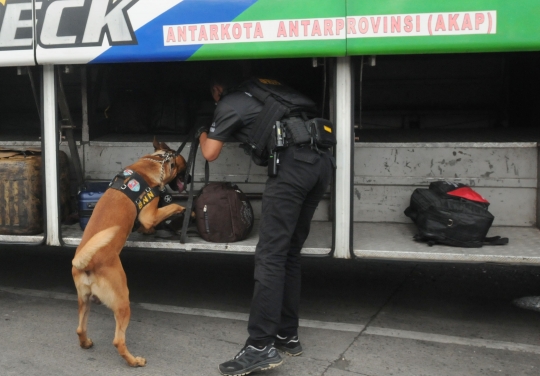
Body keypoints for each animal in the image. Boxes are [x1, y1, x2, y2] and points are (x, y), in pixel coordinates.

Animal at [71, 140, 188, 366]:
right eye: (184, 167)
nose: (188, 180)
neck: (154, 163)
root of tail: (87, 262)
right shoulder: (150, 215)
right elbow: (174, 206)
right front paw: (186, 210)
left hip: (84, 301)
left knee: (80, 328)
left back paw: (86, 343)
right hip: (123, 301)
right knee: (118, 340)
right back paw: (134, 361)